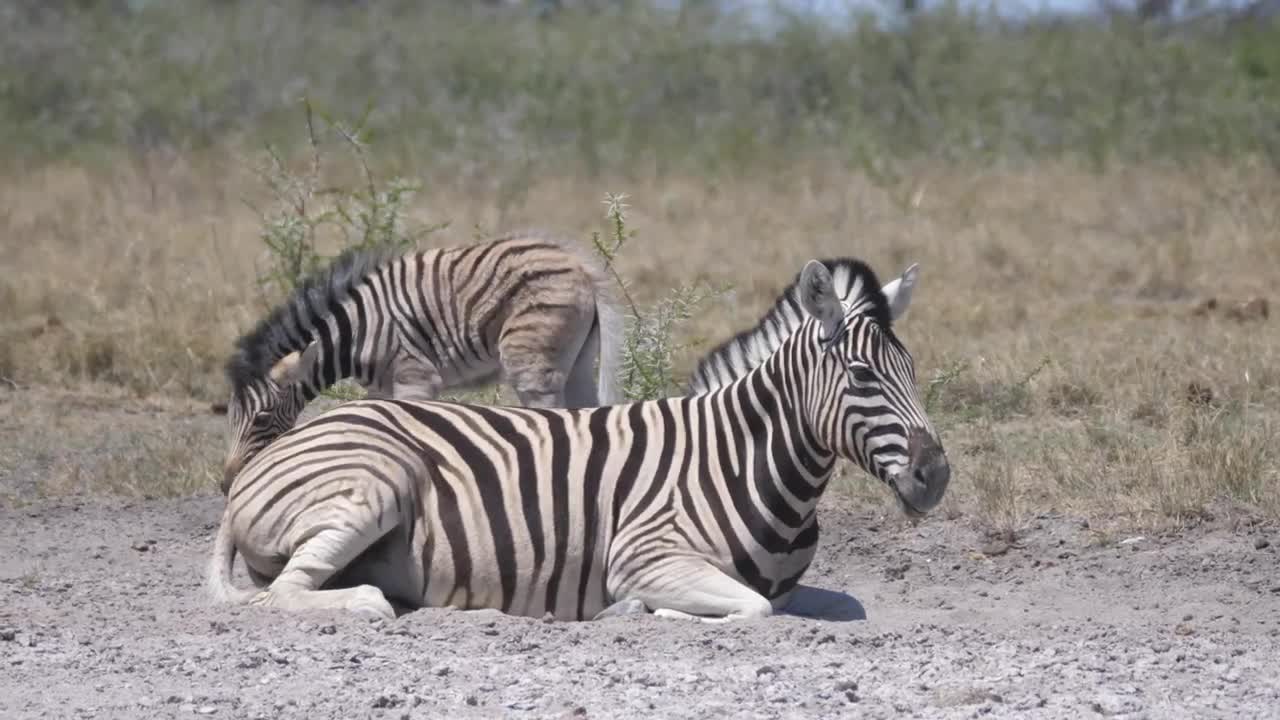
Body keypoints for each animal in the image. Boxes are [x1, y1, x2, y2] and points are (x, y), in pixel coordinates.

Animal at [220, 231, 623, 493]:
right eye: (229, 416)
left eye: (262, 418)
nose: (227, 485)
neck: (358, 330)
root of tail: (580, 266)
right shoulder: (380, 388)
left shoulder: (414, 377)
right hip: (578, 361)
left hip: (530, 362)